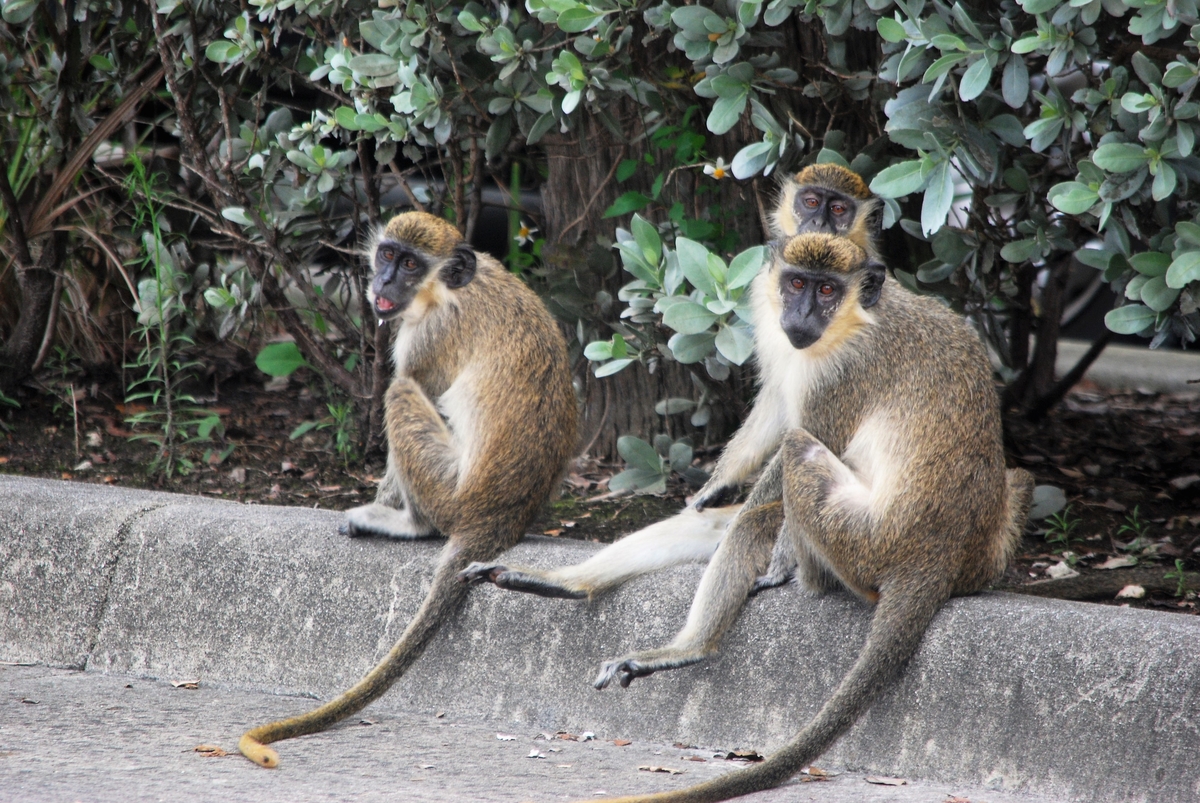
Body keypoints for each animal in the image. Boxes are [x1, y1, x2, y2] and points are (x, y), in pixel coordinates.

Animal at [238, 211, 578, 768]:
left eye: (412, 265)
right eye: (388, 254)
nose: (383, 282)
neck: (450, 288)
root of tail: (496, 516)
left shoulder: (428, 338)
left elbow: (413, 382)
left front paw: (382, 505)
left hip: (446, 489)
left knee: (400, 392)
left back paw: (407, 524)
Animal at [458, 164, 885, 600]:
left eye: (838, 209)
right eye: (811, 202)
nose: (818, 223)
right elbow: (776, 399)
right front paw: (718, 483)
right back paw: (562, 583)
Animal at [574, 232, 1033, 803]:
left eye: (827, 290)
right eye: (796, 283)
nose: (801, 313)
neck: (858, 317)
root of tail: (937, 554)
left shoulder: (844, 371)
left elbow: (805, 435)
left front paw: (766, 545)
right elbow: (773, 402)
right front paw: (715, 485)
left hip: (858, 541)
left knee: (790, 463)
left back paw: (700, 639)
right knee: (1017, 480)